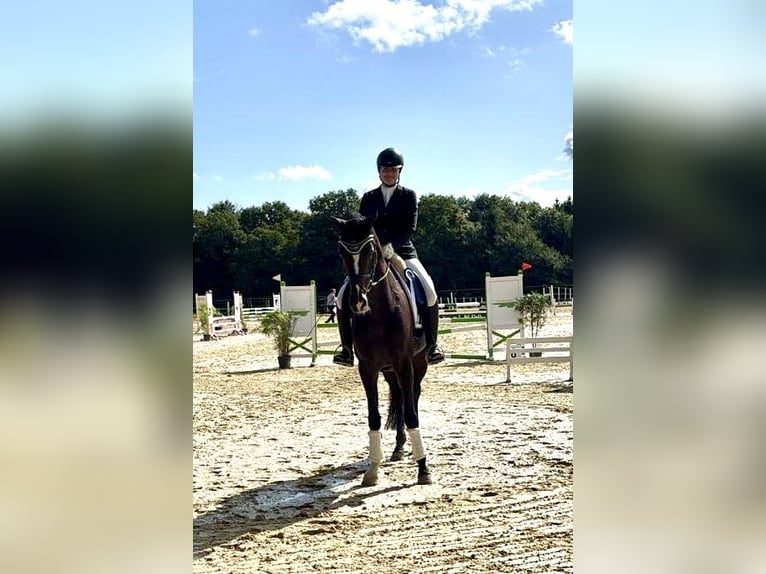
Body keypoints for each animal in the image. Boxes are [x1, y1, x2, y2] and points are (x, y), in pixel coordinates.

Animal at [333, 213, 433, 486]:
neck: (378, 312)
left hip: (418, 364)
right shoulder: (368, 368)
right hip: (388, 370)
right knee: (398, 396)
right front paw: (373, 469)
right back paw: (398, 447)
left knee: (412, 397)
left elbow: (411, 413)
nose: (357, 302)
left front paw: (423, 469)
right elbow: (373, 416)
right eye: (342, 252)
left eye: (370, 250)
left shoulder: (404, 364)